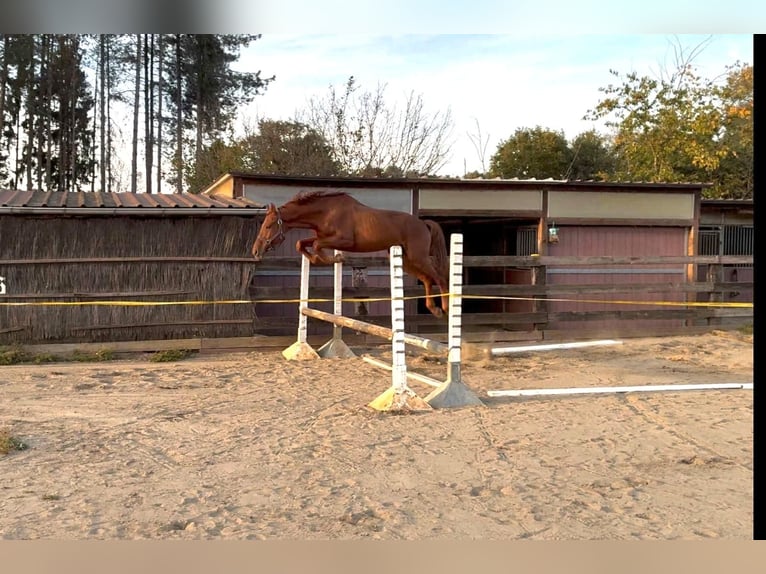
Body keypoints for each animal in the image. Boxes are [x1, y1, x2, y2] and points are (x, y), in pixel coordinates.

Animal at [251, 190, 450, 318]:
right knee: (427, 279)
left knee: (440, 278)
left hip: (418, 257)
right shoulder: (323, 237)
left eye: (268, 226)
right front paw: (322, 258)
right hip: (407, 260)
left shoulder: (344, 241)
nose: (255, 251)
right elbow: (302, 243)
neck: (326, 212)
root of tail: (423, 223)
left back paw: (446, 307)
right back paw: (434, 309)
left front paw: (334, 258)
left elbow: (316, 245)